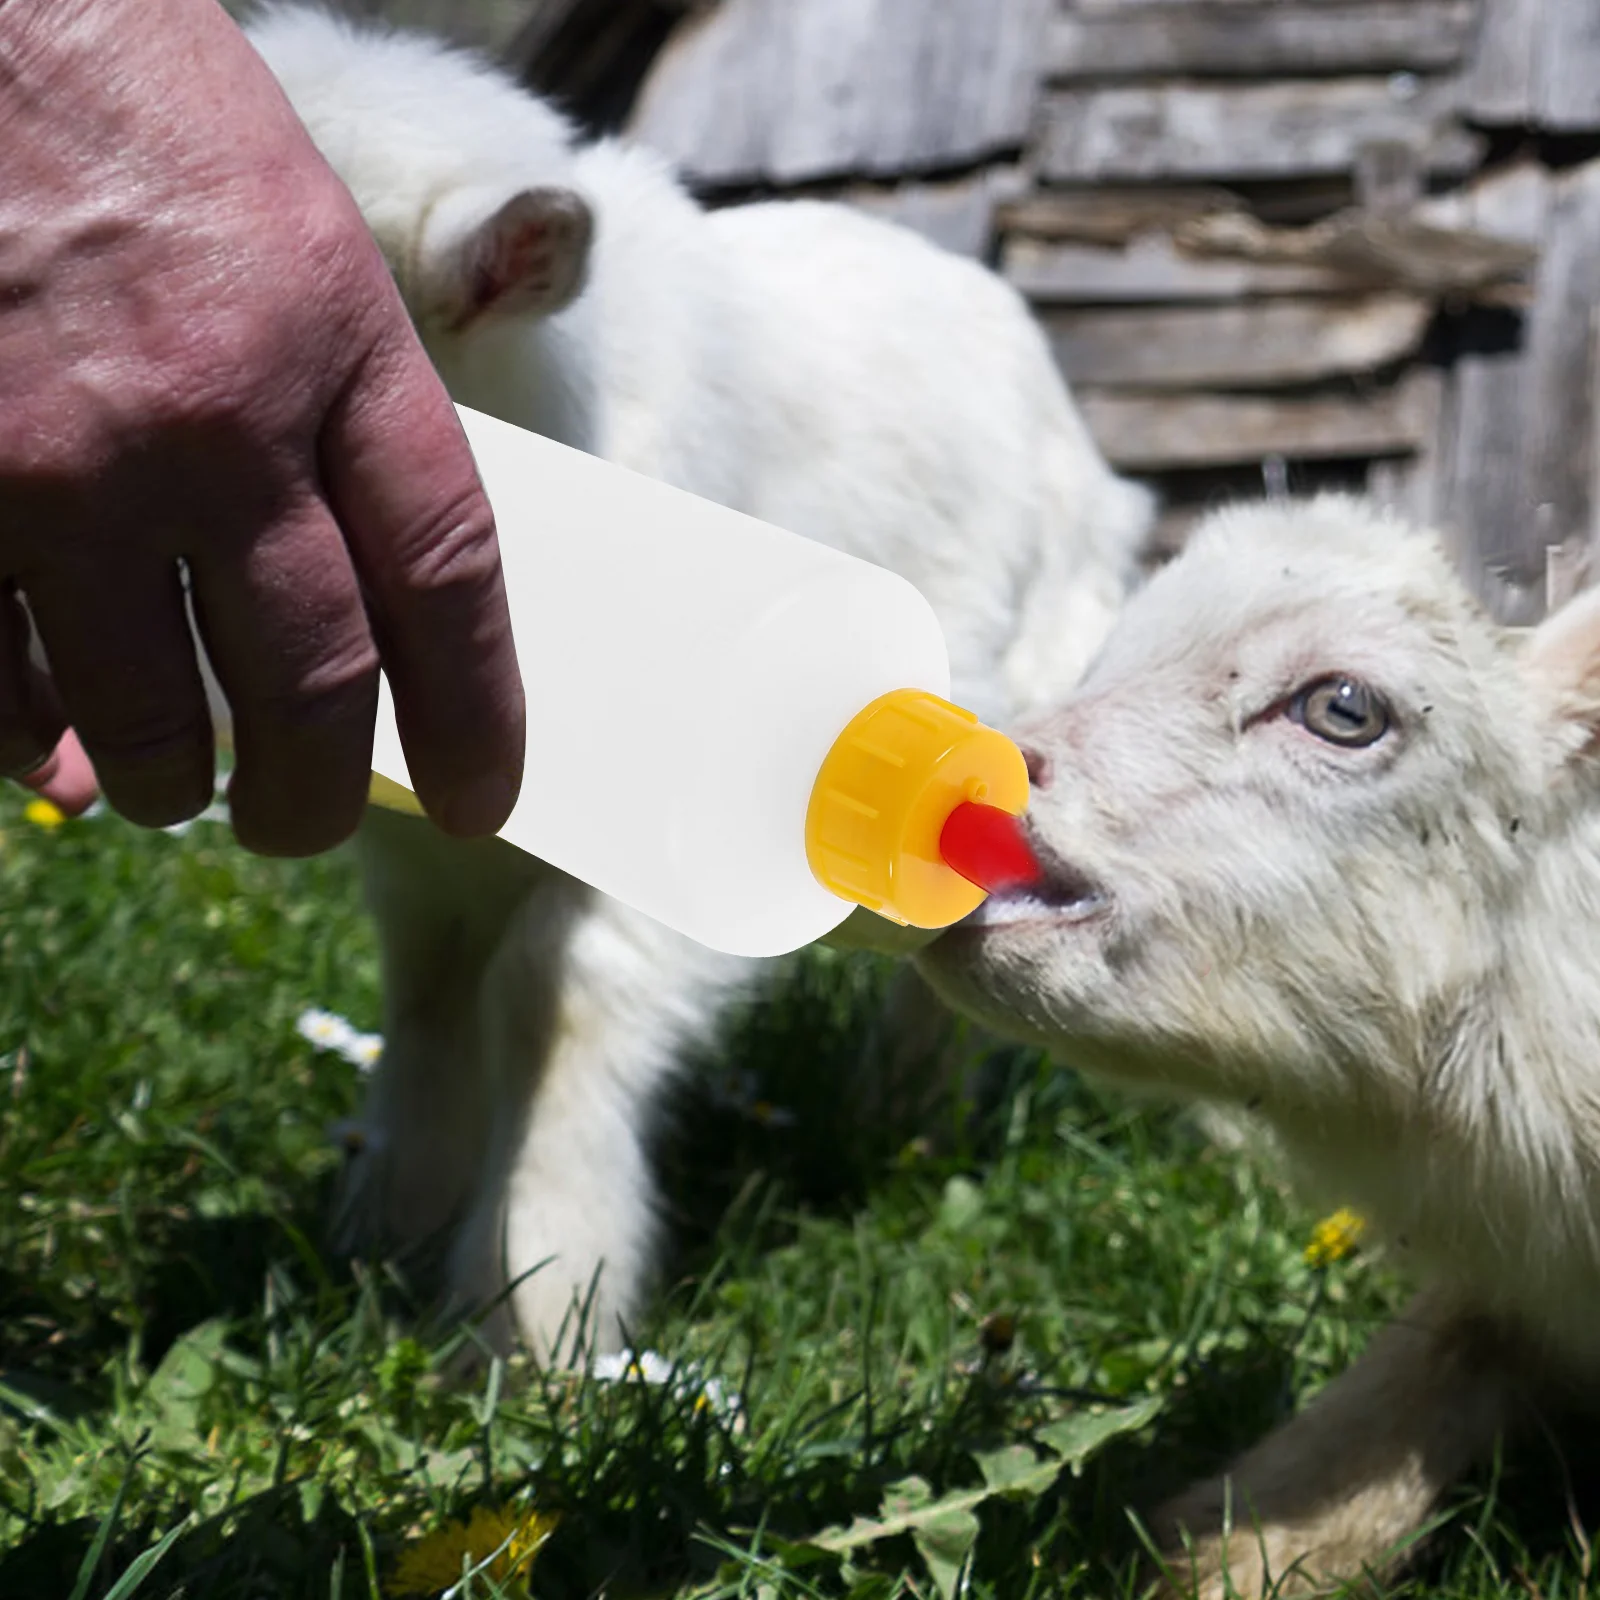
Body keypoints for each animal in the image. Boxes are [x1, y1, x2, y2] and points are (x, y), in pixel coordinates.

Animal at [240, 3, 1152, 1363]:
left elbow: (549, 996)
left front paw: (535, 1304)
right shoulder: (422, 845)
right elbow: (432, 986)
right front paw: (383, 1227)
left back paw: (902, 1121)